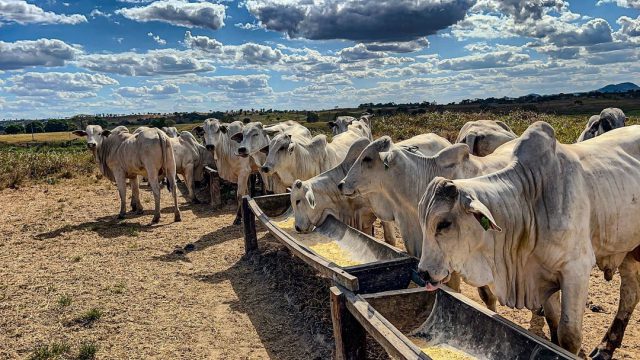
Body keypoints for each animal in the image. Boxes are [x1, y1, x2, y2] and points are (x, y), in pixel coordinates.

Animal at [418, 121, 640, 358]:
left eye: (444, 224)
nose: (423, 273)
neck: (529, 203)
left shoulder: (576, 270)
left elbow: (569, 335)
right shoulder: (542, 273)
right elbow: (553, 321)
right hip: (628, 249)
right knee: (630, 293)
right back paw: (606, 347)